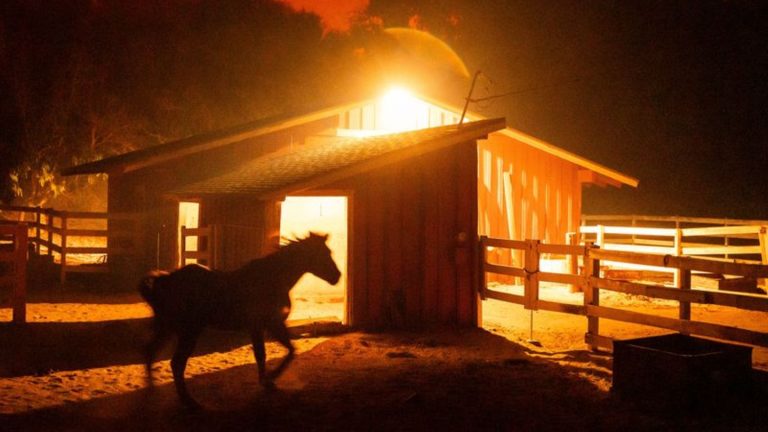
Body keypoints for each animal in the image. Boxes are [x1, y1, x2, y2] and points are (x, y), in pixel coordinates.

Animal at [139, 233, 342, 408]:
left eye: (329, 252)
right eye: (322, 253)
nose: (337, 277)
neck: (272, 279)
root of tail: (165, 279)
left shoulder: (268, 326)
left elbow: (285, 351)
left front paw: (268, 381)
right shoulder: (266, 325)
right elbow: (271, 353)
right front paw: (270, 378)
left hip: (167, 327)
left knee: (150, 351)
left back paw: (153, 390)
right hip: (188, 331)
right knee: (176, 363)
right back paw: (190, 402)